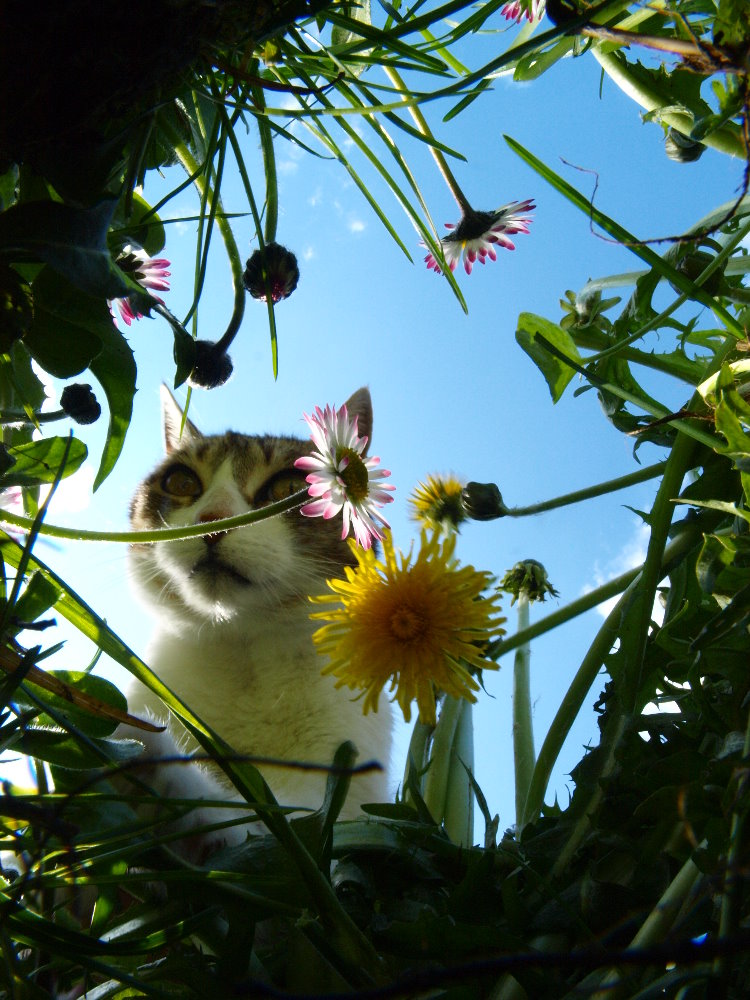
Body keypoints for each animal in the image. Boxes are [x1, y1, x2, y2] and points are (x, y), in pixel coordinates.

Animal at [119, 384, 394, 860]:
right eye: (182, 482)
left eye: (289, 488)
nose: (213, 521)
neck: (241, 648)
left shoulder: (338, 794)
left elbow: (266, 819)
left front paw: (153, 764)